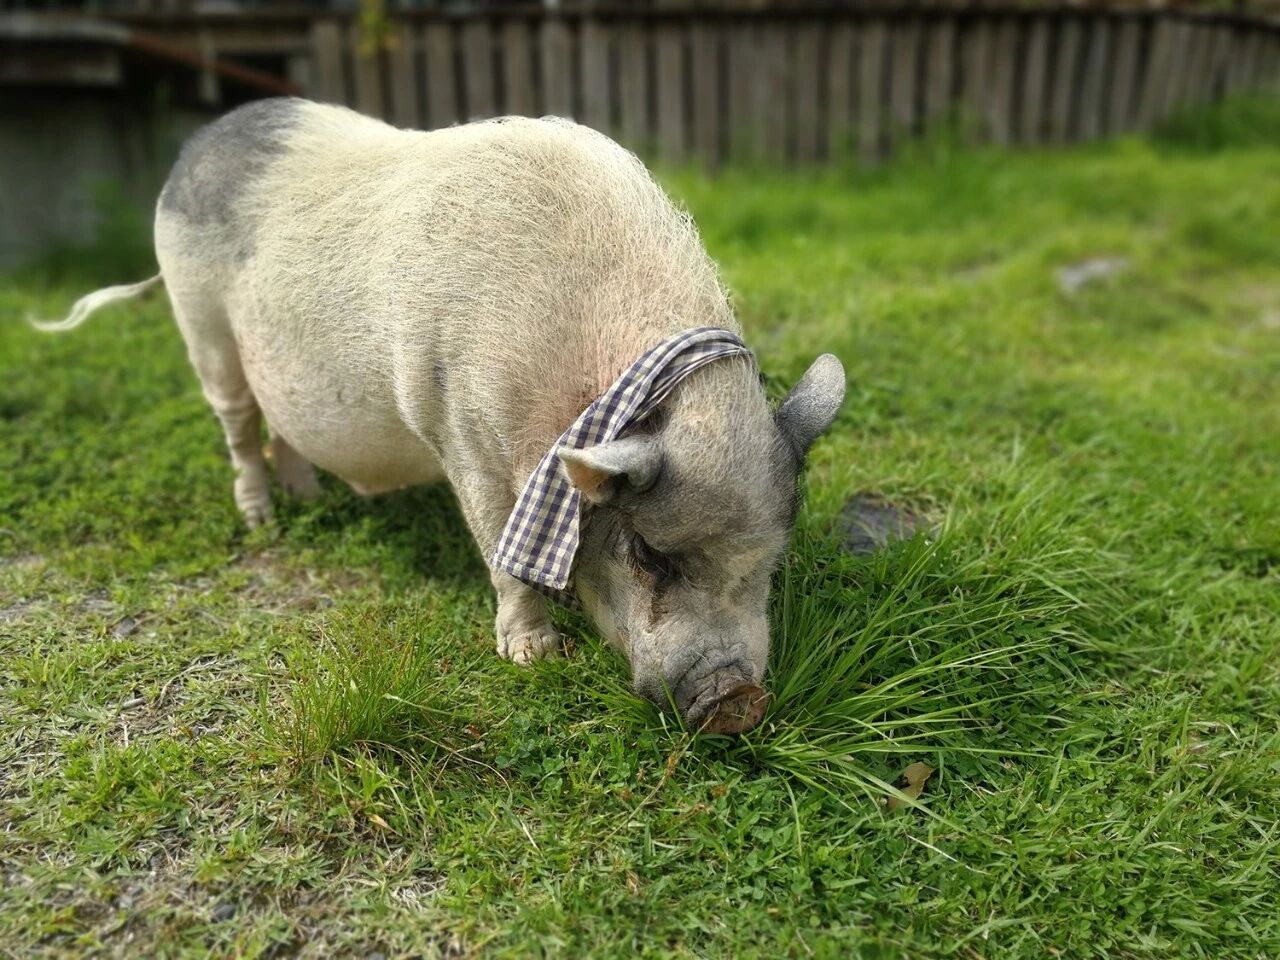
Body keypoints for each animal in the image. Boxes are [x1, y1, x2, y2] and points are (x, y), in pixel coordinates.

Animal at [38, 98, 845, 734]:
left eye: (771, 558)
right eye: (650, 555)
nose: (736, 697)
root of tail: (195, 146)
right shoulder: (463, 433)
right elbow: (500, 549)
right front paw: (534, 659)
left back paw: (307, 500)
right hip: (200, 325)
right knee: (238, 427)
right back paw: (262, 521)